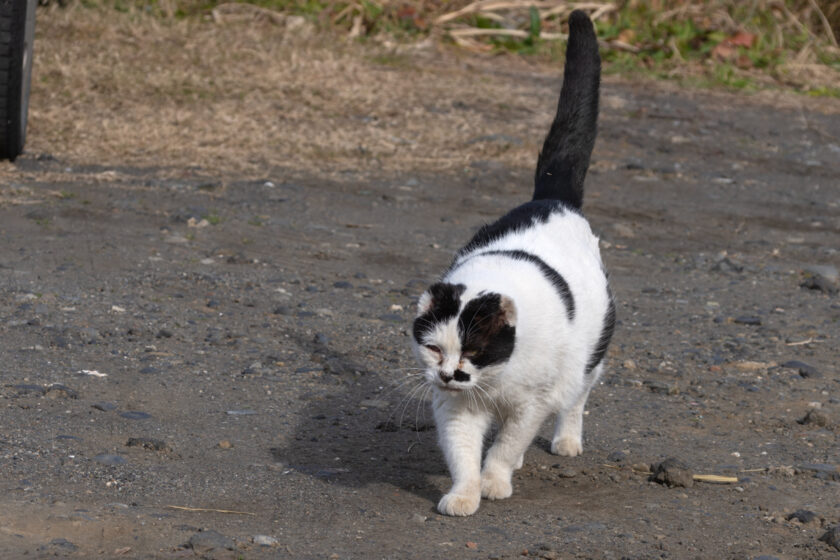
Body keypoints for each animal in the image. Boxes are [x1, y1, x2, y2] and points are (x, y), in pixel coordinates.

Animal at [410, 9, 612, 516]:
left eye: (475, 350)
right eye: (435, 349)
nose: (450, 374)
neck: (493, 380)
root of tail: (553, 199)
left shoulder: (531, 403)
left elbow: (506, 444)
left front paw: (495, 481)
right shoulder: (456, 407)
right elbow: (463, 451)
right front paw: (465, 493)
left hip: (589, 357)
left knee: (576, 398)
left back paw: (566, 440)